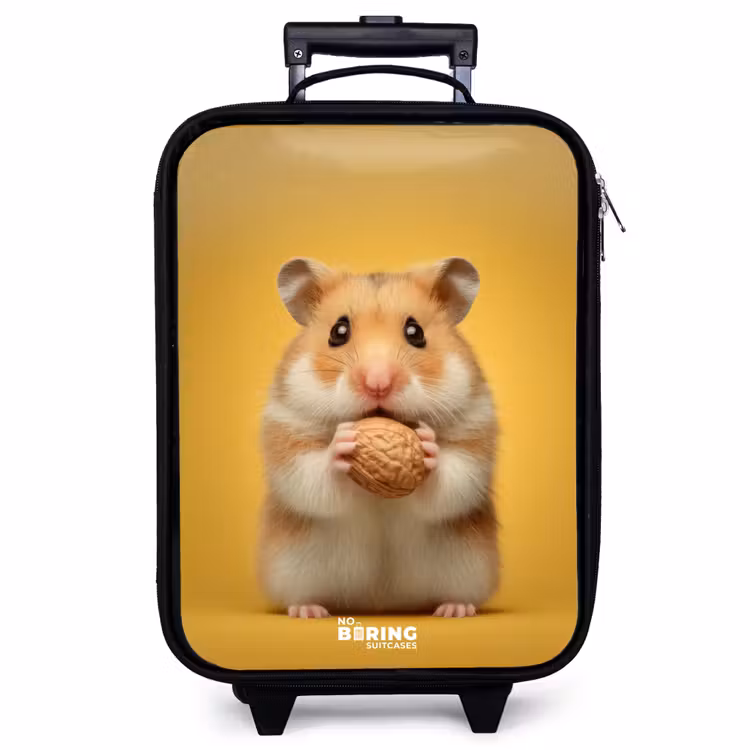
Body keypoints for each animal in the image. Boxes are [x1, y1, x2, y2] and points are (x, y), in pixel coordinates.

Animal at [258, 257, 499, 618]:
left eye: (416, 333)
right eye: (338, 332)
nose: (378, 383)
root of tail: (381, 604)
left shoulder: (474, 431)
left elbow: (454, 478)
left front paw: (428, 446)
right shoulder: (287, 432)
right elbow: (310, 476)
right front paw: (342, 445)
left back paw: (454, 609)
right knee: (302, 596)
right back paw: (309, 611)